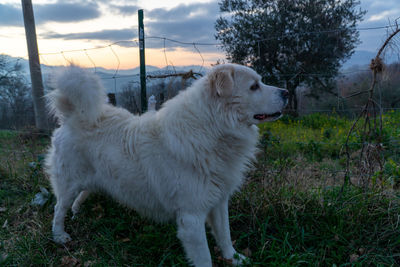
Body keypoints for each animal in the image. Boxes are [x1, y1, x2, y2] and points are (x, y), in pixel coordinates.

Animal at [45, 63, 288, 266]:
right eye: (254, 86)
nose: (285, 92)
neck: (211, 127)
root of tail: (73, 116)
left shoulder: (218, 201)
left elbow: (225, 235)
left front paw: (235, 259)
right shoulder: (191, 218)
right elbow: (205, 258)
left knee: (81, 194)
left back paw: (77, 211)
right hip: (68, 183)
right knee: (58, 208)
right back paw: (59, 236)